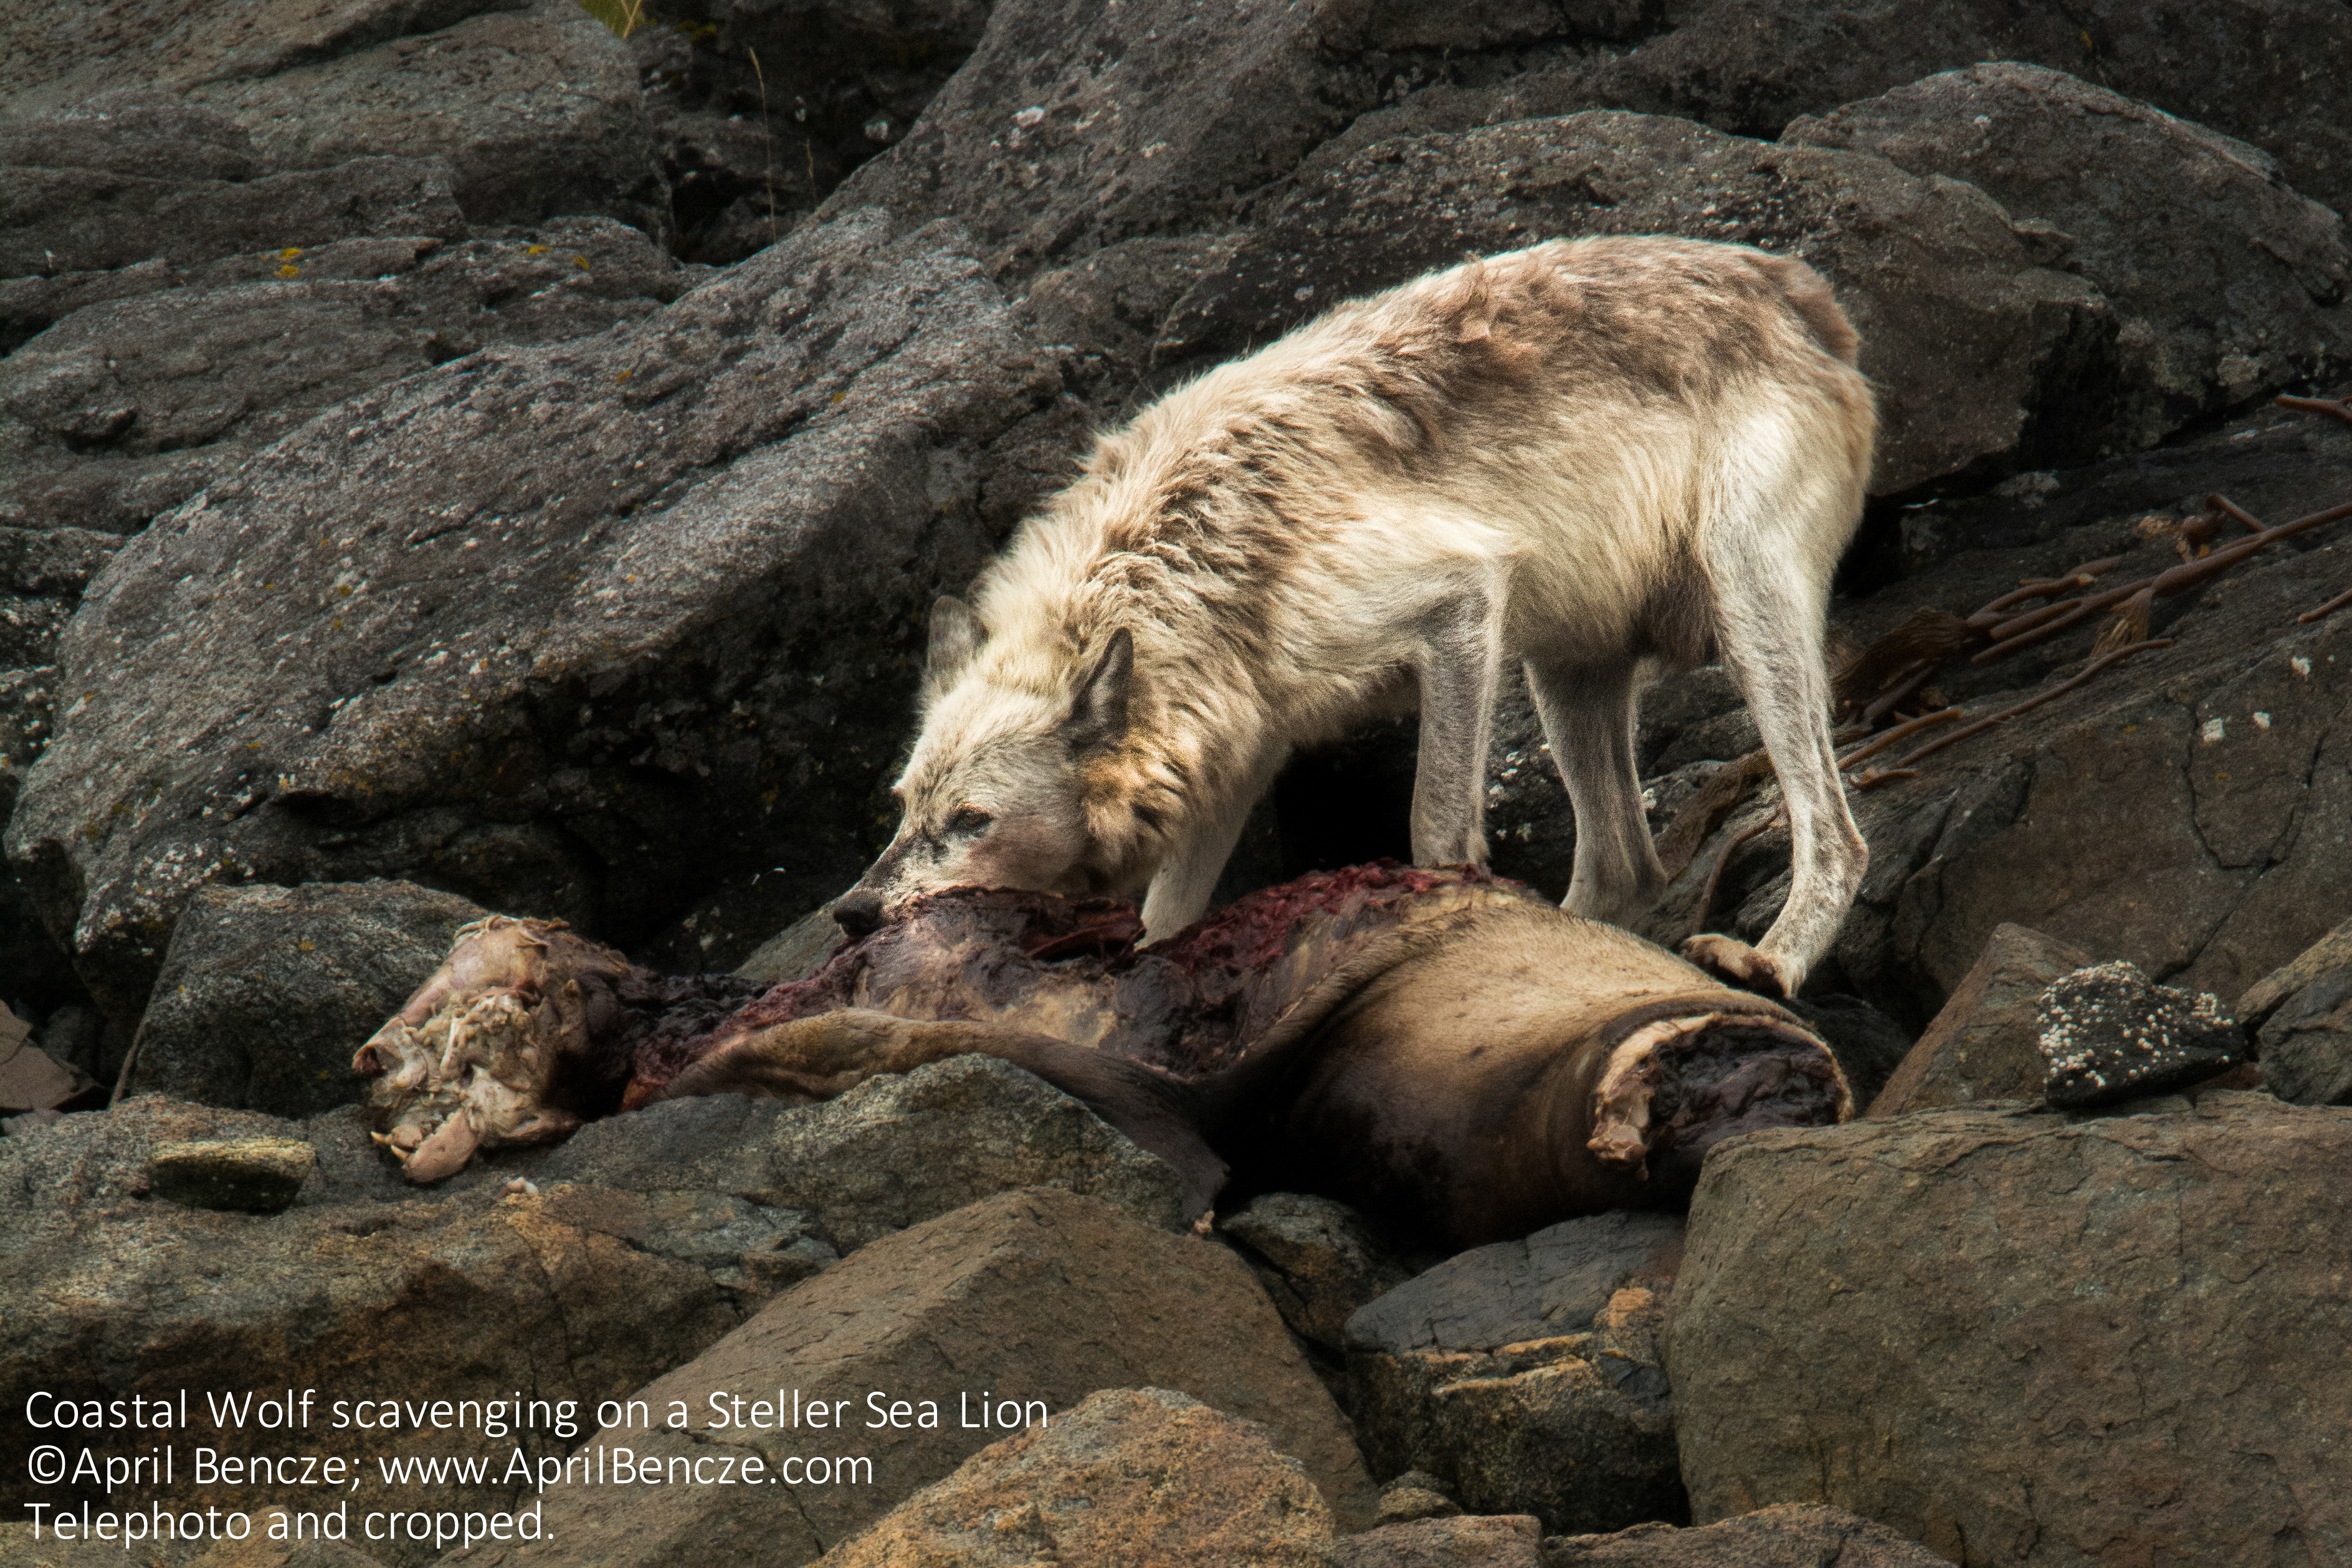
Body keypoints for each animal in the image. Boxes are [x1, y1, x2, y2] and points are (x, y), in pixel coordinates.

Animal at [827, 236, 1872, 992]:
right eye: (902, 809)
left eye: (971, 820)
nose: (851, 915)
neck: (1199, 562)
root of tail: (1801, 292)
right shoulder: (1236, 761)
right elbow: (1159, 926)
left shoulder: (1458, 605)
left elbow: (1432, 831)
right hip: (1564, 672)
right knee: (1623, 867)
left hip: (1744, 610)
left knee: (1835, 835)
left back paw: (1768, 962)